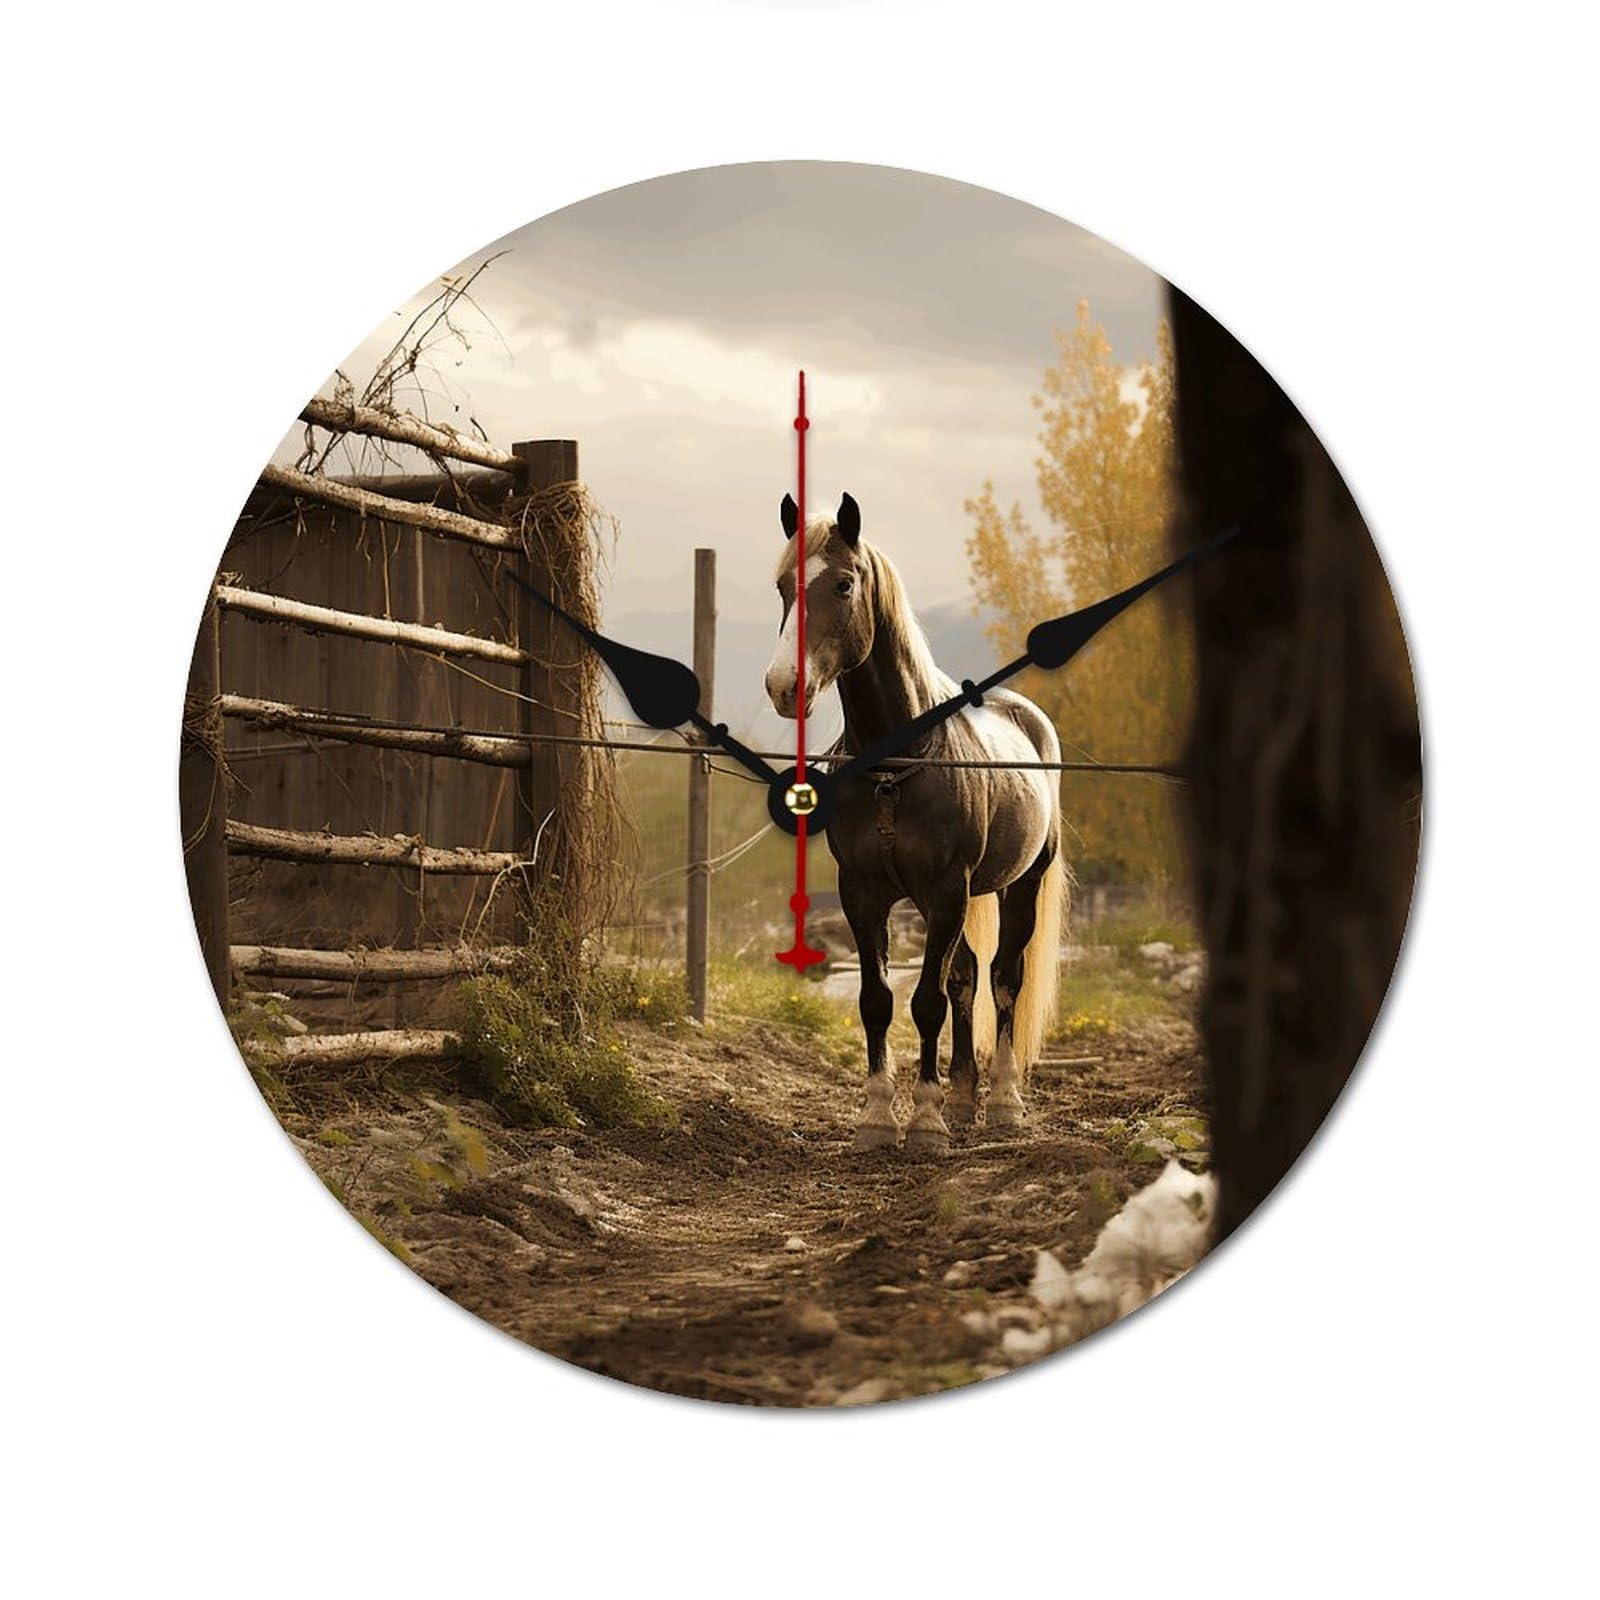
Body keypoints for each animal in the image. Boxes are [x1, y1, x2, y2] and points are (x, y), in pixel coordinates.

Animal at [765, 492, 1068, 1153]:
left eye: (844, 584)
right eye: (781, 586)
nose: (783, 686)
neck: (893, 769)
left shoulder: (947, 889)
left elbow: (926, 1002)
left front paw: (925, 1122)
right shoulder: (865, 895)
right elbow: (878, 1000)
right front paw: (881, 1118)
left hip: (1018, 885)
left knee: (1004, 978)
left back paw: (1002, 1100)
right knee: (967, 977)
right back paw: (963, 1096)